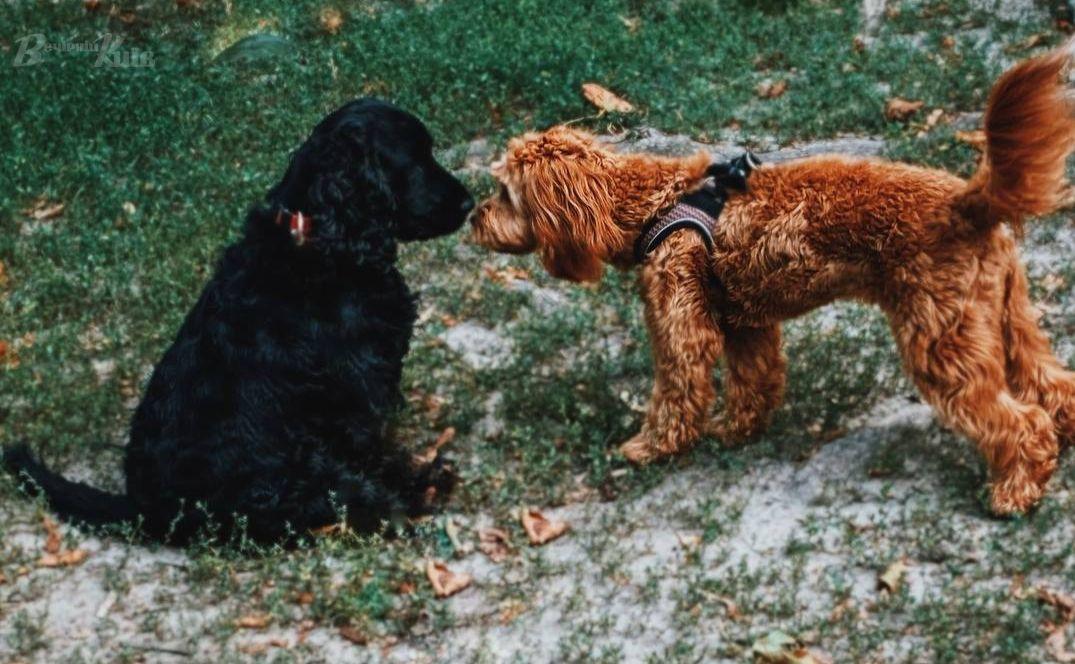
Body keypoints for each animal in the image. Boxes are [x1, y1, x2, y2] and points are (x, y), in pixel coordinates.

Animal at [3, 98, 475, 543]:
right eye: (416, 159)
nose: (470, 203)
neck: (320, 237)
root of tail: (144, 510)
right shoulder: (360, 393)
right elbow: (375, 448)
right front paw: (409, 481)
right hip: (295, 473)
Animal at [473, 46, 1075, 513]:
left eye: (504, 193)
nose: (473, 218)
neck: (650, 203)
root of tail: (967, 202)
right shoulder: (744, 322)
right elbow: (753, 382)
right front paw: (737, 430)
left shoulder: (681, 325)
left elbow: (674, 392)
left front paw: (650, 447)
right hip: (1004, 316)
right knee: (1051, 384)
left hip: (941, 339)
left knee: (1018, 420)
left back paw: (1016, 490)